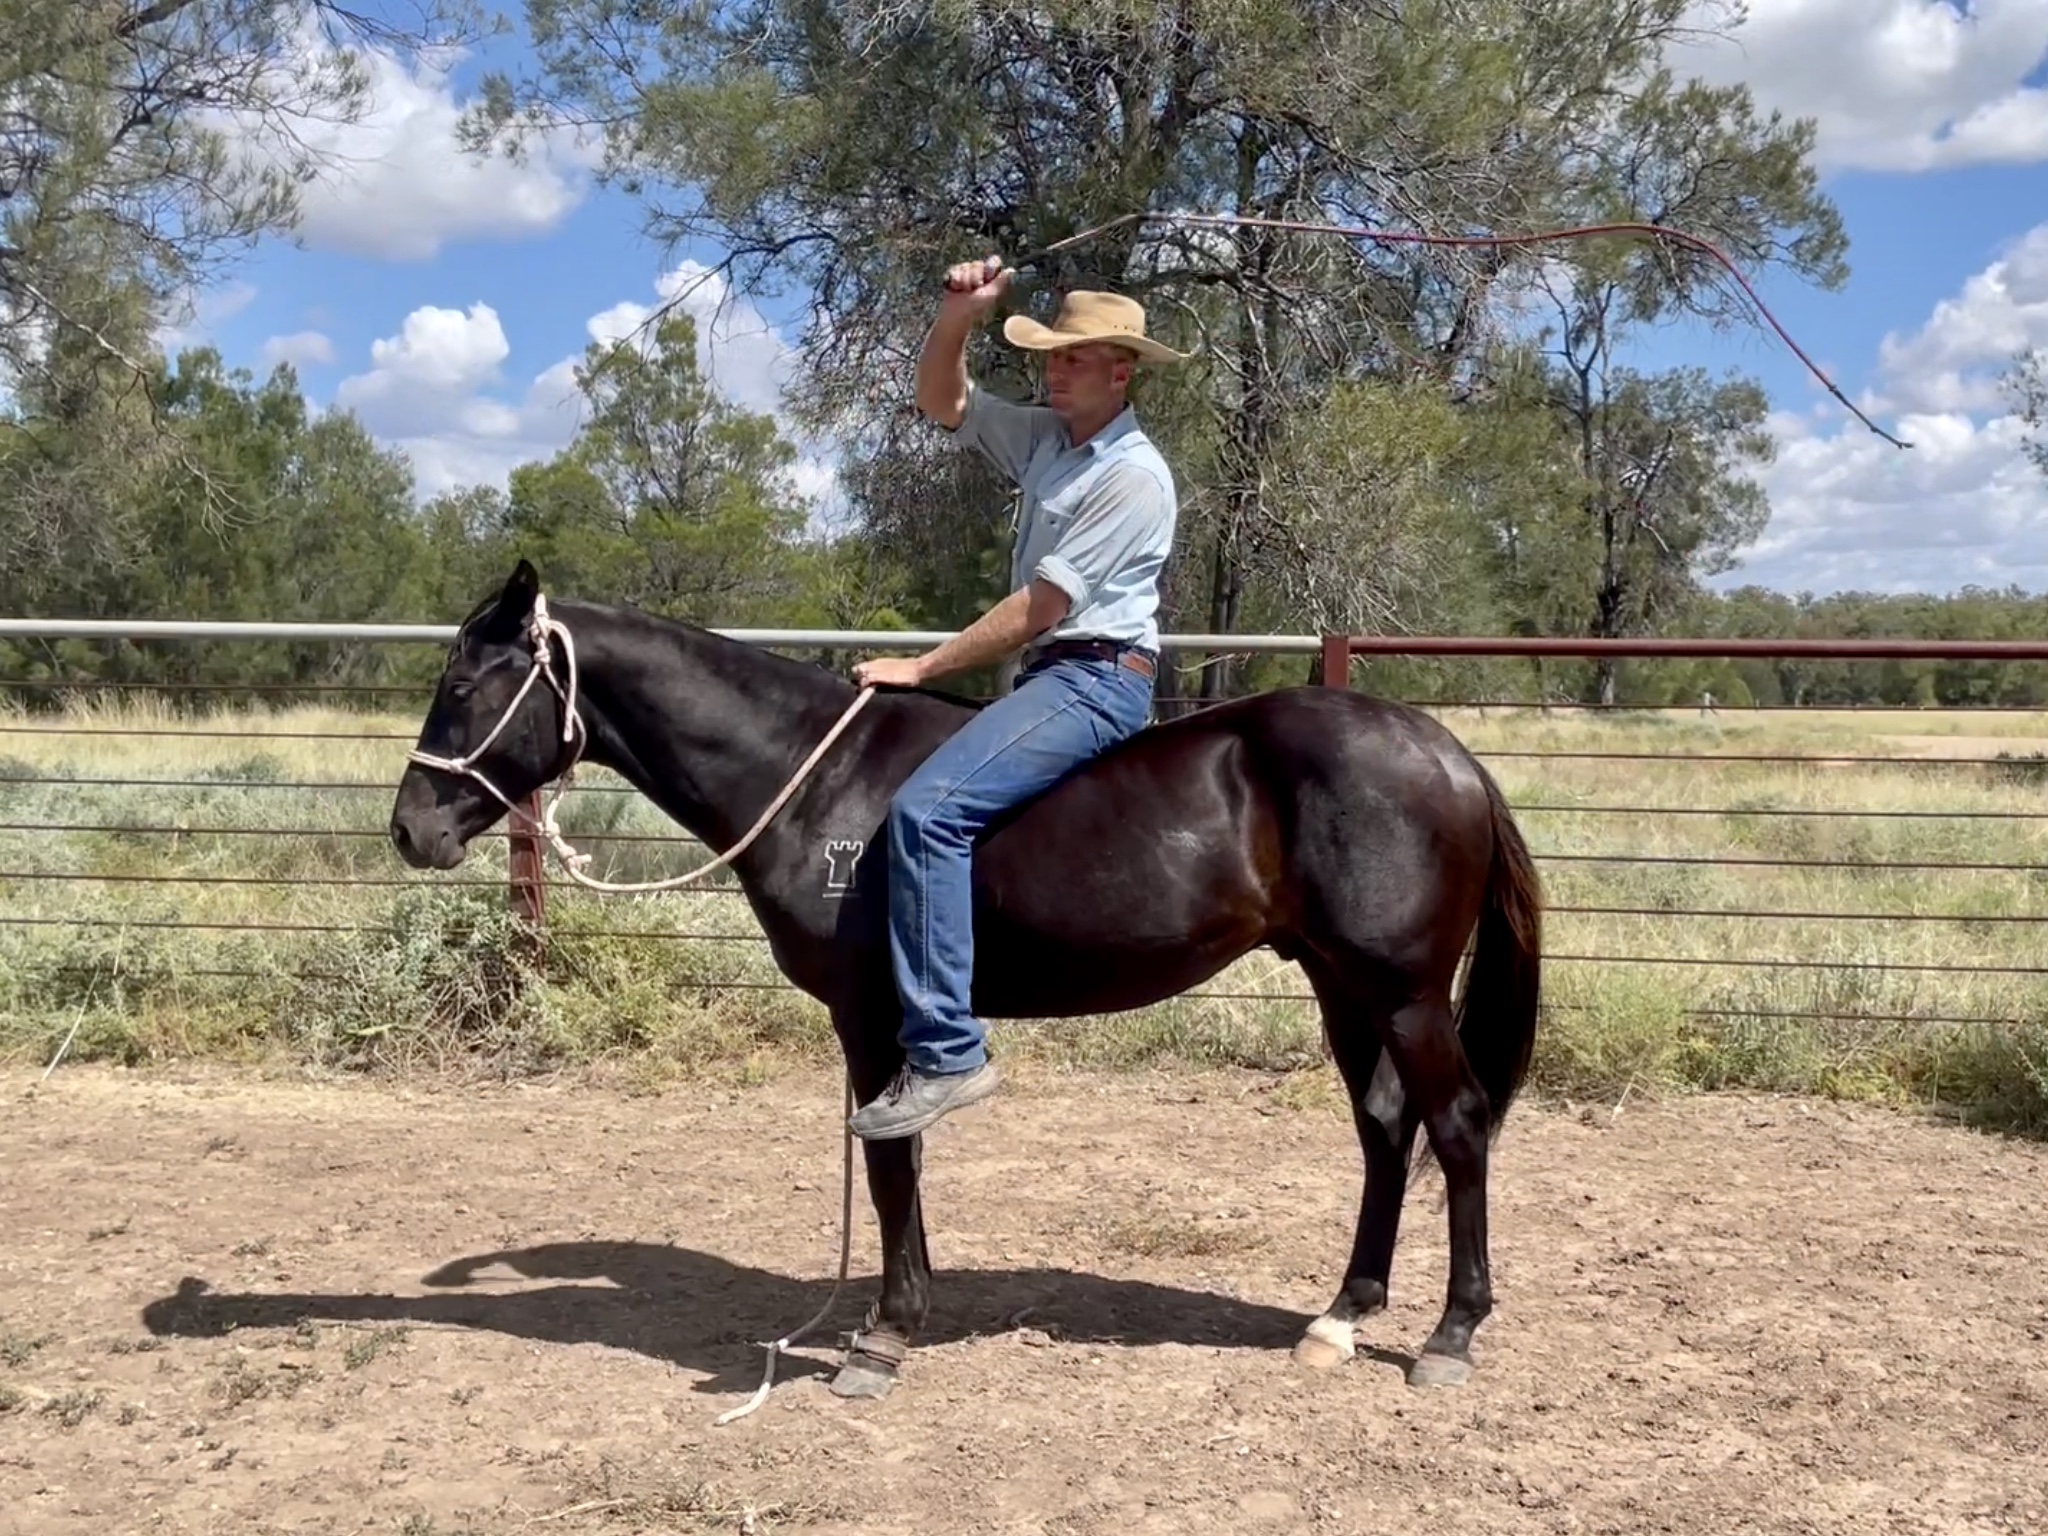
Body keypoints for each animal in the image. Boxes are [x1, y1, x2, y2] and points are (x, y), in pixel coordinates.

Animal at [386, 559, 1545, 1401]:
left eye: (464, 686)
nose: (410, 829)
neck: (817, 778)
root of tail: (1447, 755)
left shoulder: (871, 1019)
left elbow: (890, 1163)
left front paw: (883, 1335)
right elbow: (904, 1166)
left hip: (1402, 995)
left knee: (1455, 1128)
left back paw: (1449, 1334)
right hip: (1343, 990)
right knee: (1384, 1130)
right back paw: (1344, 1314)